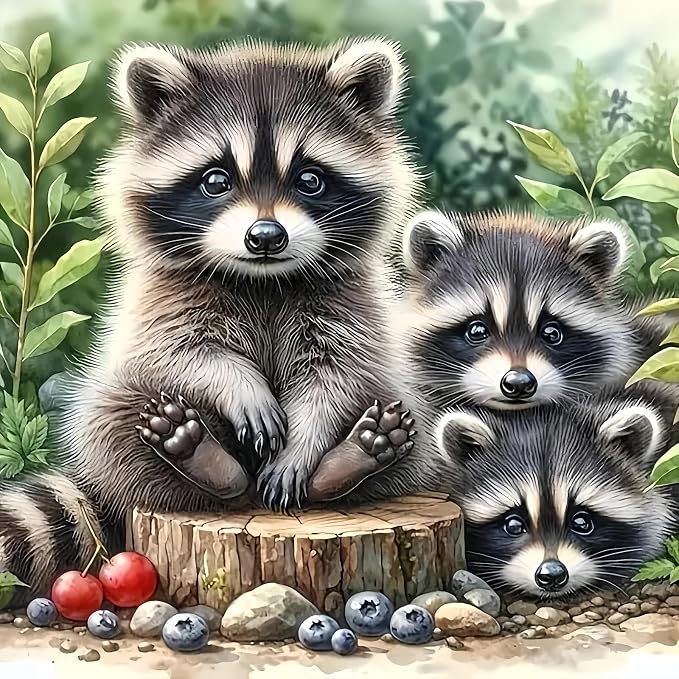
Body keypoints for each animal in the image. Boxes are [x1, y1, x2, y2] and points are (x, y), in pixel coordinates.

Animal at [0, 38, 441, 594]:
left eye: (310, 179)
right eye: (216, 180)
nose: (266, 236)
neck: (264, 280)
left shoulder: (350, 301)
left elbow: (338, 374)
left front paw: (305, 444)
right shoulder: (162, 296)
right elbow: (181, 353)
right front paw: (238, 383)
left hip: (410, 414)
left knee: (403, 419)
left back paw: (349, 460)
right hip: (112, 421)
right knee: (115, 415)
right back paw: (203, 458)